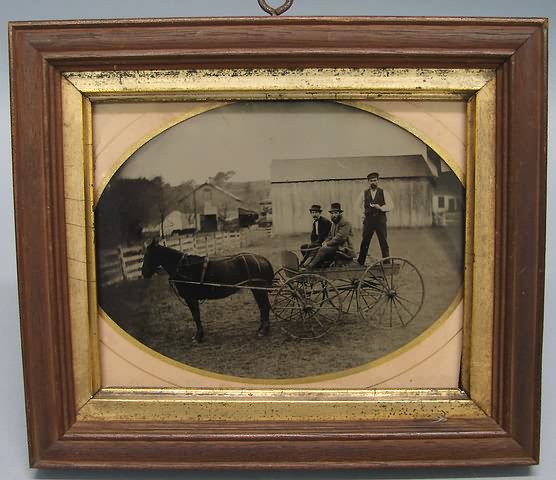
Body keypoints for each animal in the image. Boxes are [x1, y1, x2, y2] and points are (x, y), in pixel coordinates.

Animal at [141, 240, 274, 342]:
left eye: (148, 255)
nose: (144, 273)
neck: (184, 268)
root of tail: (261, 258)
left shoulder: (191, 298)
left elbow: (196, 315)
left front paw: (198, 336)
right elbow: (196, 315)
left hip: (259, 289)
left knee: (264, 306)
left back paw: (263, 330)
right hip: (256, 289)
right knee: (262, 307)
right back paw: (261, 328)